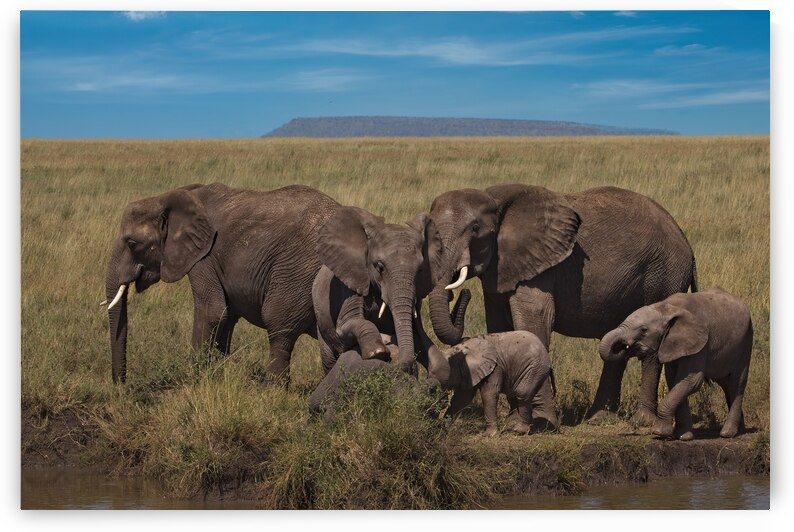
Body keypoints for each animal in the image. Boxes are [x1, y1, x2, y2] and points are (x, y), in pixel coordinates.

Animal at [104, 182, 341, 384]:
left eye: (132, 243)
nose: (121, 387)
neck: (170, 197)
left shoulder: (204, 258)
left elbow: (212, 312)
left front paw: (194, 380)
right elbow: (227, 317)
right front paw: (217, 374)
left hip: (297, 272)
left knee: (279, 326)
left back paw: (273, 389)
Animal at [311, 206, 460, 374]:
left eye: (420, 270)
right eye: (380, 267)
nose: (394, 363)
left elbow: (418, 334)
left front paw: (437, 368)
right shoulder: (351, 284)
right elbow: (345, 326)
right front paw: (378, 352)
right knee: (329, 360)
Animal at [413, 292, 554, 436]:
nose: (466, 291)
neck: (465, 348)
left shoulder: (495, 367)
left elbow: (488, 394)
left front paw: (490, 435)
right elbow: (462, 398)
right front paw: (445, 427)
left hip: (535, 367)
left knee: (522, 392)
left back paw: (519, 430)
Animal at [424, 184, 697, 427]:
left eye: (475, 228)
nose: (459, 294)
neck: (494, 197)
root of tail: (685, 239)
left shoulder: (539, 266)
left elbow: (534, 320)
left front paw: (539, 422)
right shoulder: (499, 269)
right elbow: (500, 327)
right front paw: (515, 420)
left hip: (663, 275)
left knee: (651, 343)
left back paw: (642, 423)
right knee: (617, 342)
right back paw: (599, 419)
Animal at [599, 288, 753, 440]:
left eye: (643, 330)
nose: (622, 346)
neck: (666, 308)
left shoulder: (700, 345)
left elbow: (691, 381)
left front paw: (659, 432)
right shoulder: (671, 344)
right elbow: (674, 381)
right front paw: (683, 436)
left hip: (746, 342)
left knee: (736, 383)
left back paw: (728, 433)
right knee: (727, 385)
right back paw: (740, 431)